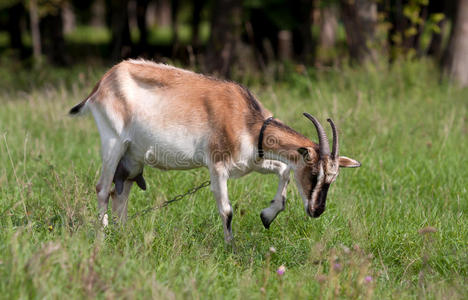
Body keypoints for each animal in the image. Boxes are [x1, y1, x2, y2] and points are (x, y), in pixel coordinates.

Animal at [69, 59, 362, 244]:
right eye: (314, 174)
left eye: (333, 177)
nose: (317, 210)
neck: (246, 119)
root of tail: (103, 81)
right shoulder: (217, 166)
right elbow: (227, 210)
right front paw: (230, 247)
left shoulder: (252, 161)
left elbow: (284, 171)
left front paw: (267, 216)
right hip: (113, 142)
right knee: (102, 188)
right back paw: (102, 236)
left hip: (132, 157)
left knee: (120, 193)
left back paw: (124, 235)